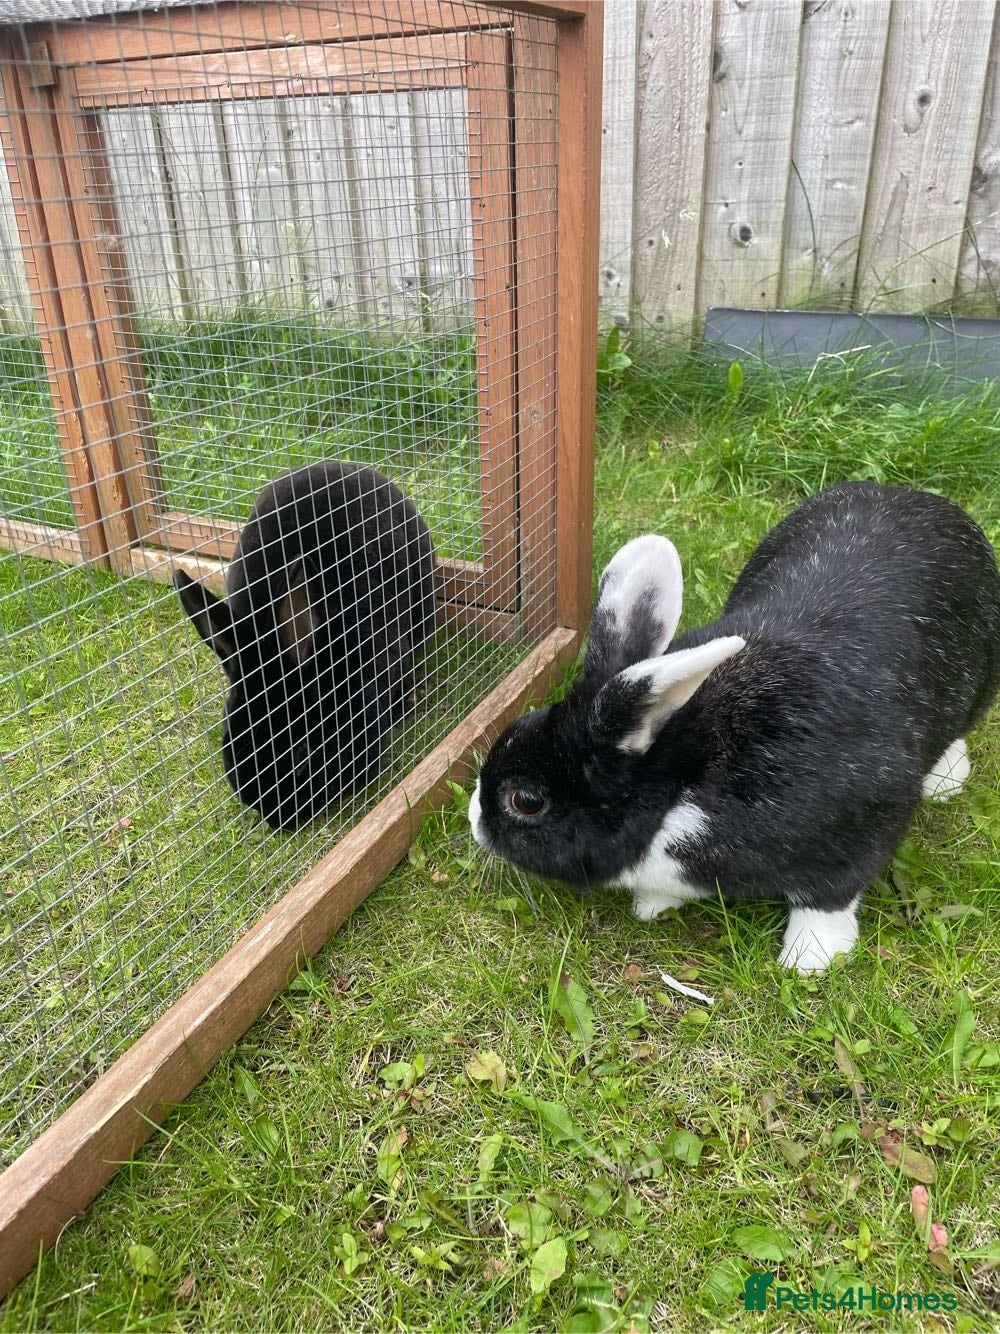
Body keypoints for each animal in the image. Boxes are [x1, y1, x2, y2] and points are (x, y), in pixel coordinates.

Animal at [469, 481, 1000, 973]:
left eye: (526, 801)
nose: (474, 819)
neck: (680, 783)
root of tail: (923, 499)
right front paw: (653, 905)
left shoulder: (865, 823)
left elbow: (828, 897)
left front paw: (810, 959)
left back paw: (946, 781)